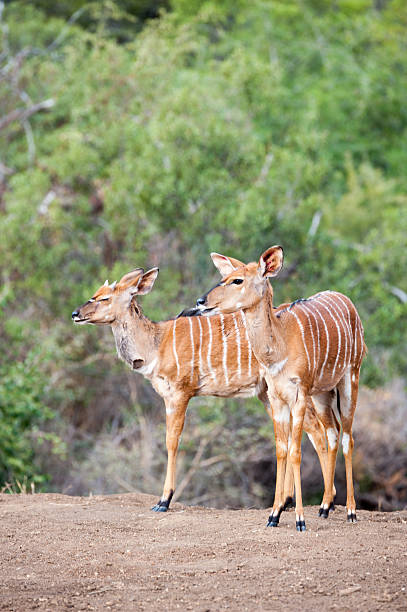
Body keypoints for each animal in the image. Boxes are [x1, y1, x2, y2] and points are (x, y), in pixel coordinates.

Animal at [72, 268, 334, 512]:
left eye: (104, 298)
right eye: (95, 293)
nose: (76, 314)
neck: (156, 343)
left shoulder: (180, 392)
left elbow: (172, 441)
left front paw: (164, 500)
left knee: (317, 431)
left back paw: (326, 503)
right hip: (268, 394)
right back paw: (288, 501)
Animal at [196, 245, 368, 532]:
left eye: (237, 280)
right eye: (224, 276)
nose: (201, 302)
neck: (280, 344)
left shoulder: (299, 395)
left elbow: (296, 452)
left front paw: (299, 519)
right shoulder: (276, 397)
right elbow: (281, 450)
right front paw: (274, 514)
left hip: (349, 380)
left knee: (347, 437)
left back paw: (351, 511)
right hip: (322, 394)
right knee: (332, 434)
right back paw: (324, 507)